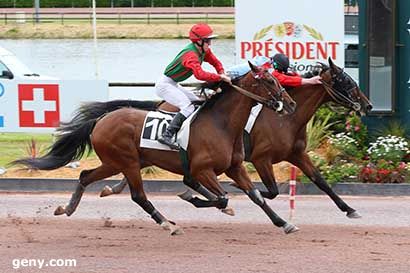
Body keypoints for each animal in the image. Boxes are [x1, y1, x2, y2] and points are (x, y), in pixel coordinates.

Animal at [13, 61, 298, 234]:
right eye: (269, 81)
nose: (291, 104)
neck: (222, 123)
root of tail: (101, 120)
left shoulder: (234, 167)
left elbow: (257, 195)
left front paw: (284, 223)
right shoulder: (202, 169)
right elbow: (221, 196)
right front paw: (195, 198)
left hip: (115, 162)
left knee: (85, 176)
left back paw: (67, 208)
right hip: (126, 161)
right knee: (139, 196)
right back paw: (167, 224)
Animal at [98, 56, 372, 217]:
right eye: (346, 82)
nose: (368, 105)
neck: (287, 120)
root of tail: (163, 104)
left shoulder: (296, 153)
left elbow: (321, 181)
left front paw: (349, 209)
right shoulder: (261, 158)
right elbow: (270, 191)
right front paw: (234, 189)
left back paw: (114, 188)